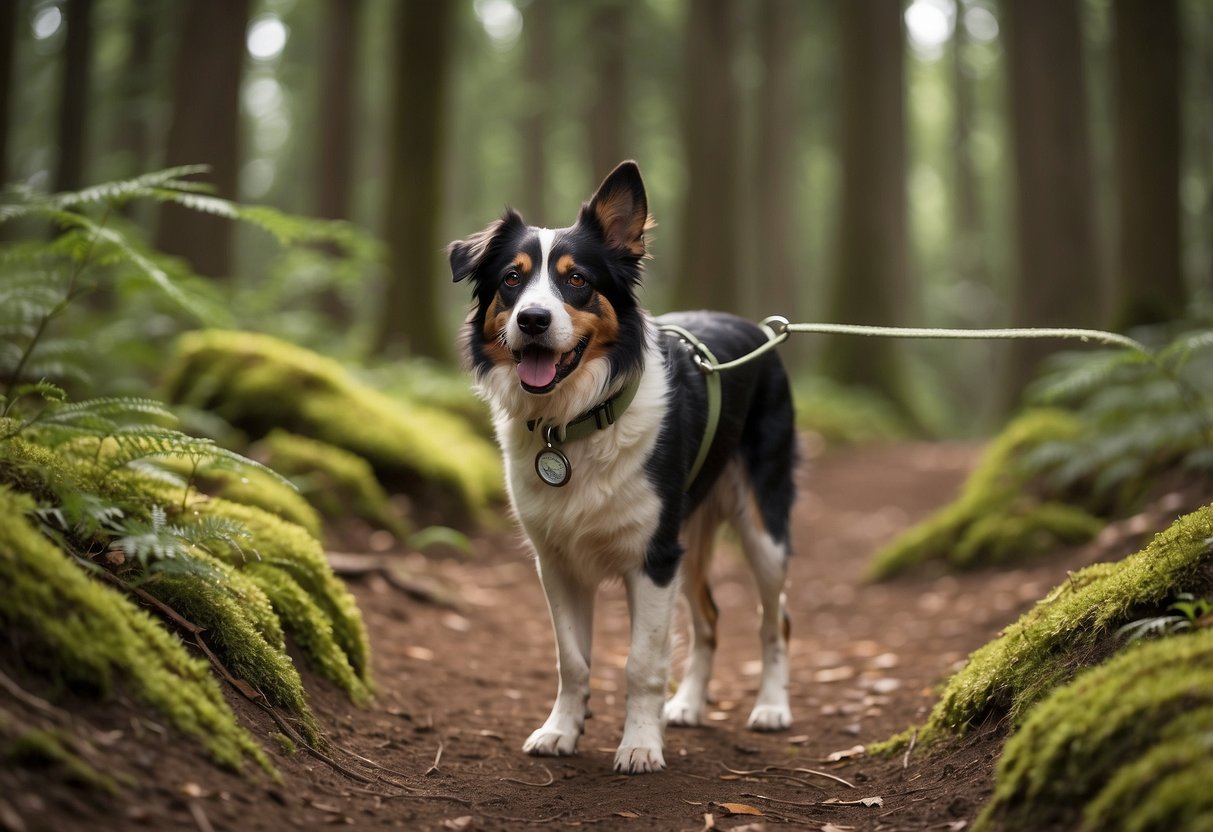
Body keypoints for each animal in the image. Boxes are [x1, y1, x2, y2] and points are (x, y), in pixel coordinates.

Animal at [451, 161, 800, 776]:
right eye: (512, 280)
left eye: (578, 281)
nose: (533, 320)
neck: (576, 421)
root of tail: (761, 331)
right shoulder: (556, 561)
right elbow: (572, 659)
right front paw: (561, 730)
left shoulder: (654, 558)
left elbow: (641, 663)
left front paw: (639, 744)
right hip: (691, 534)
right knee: (709, 618)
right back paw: (688, 704)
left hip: (763, 528)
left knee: (773, 618)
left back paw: (771, 707)